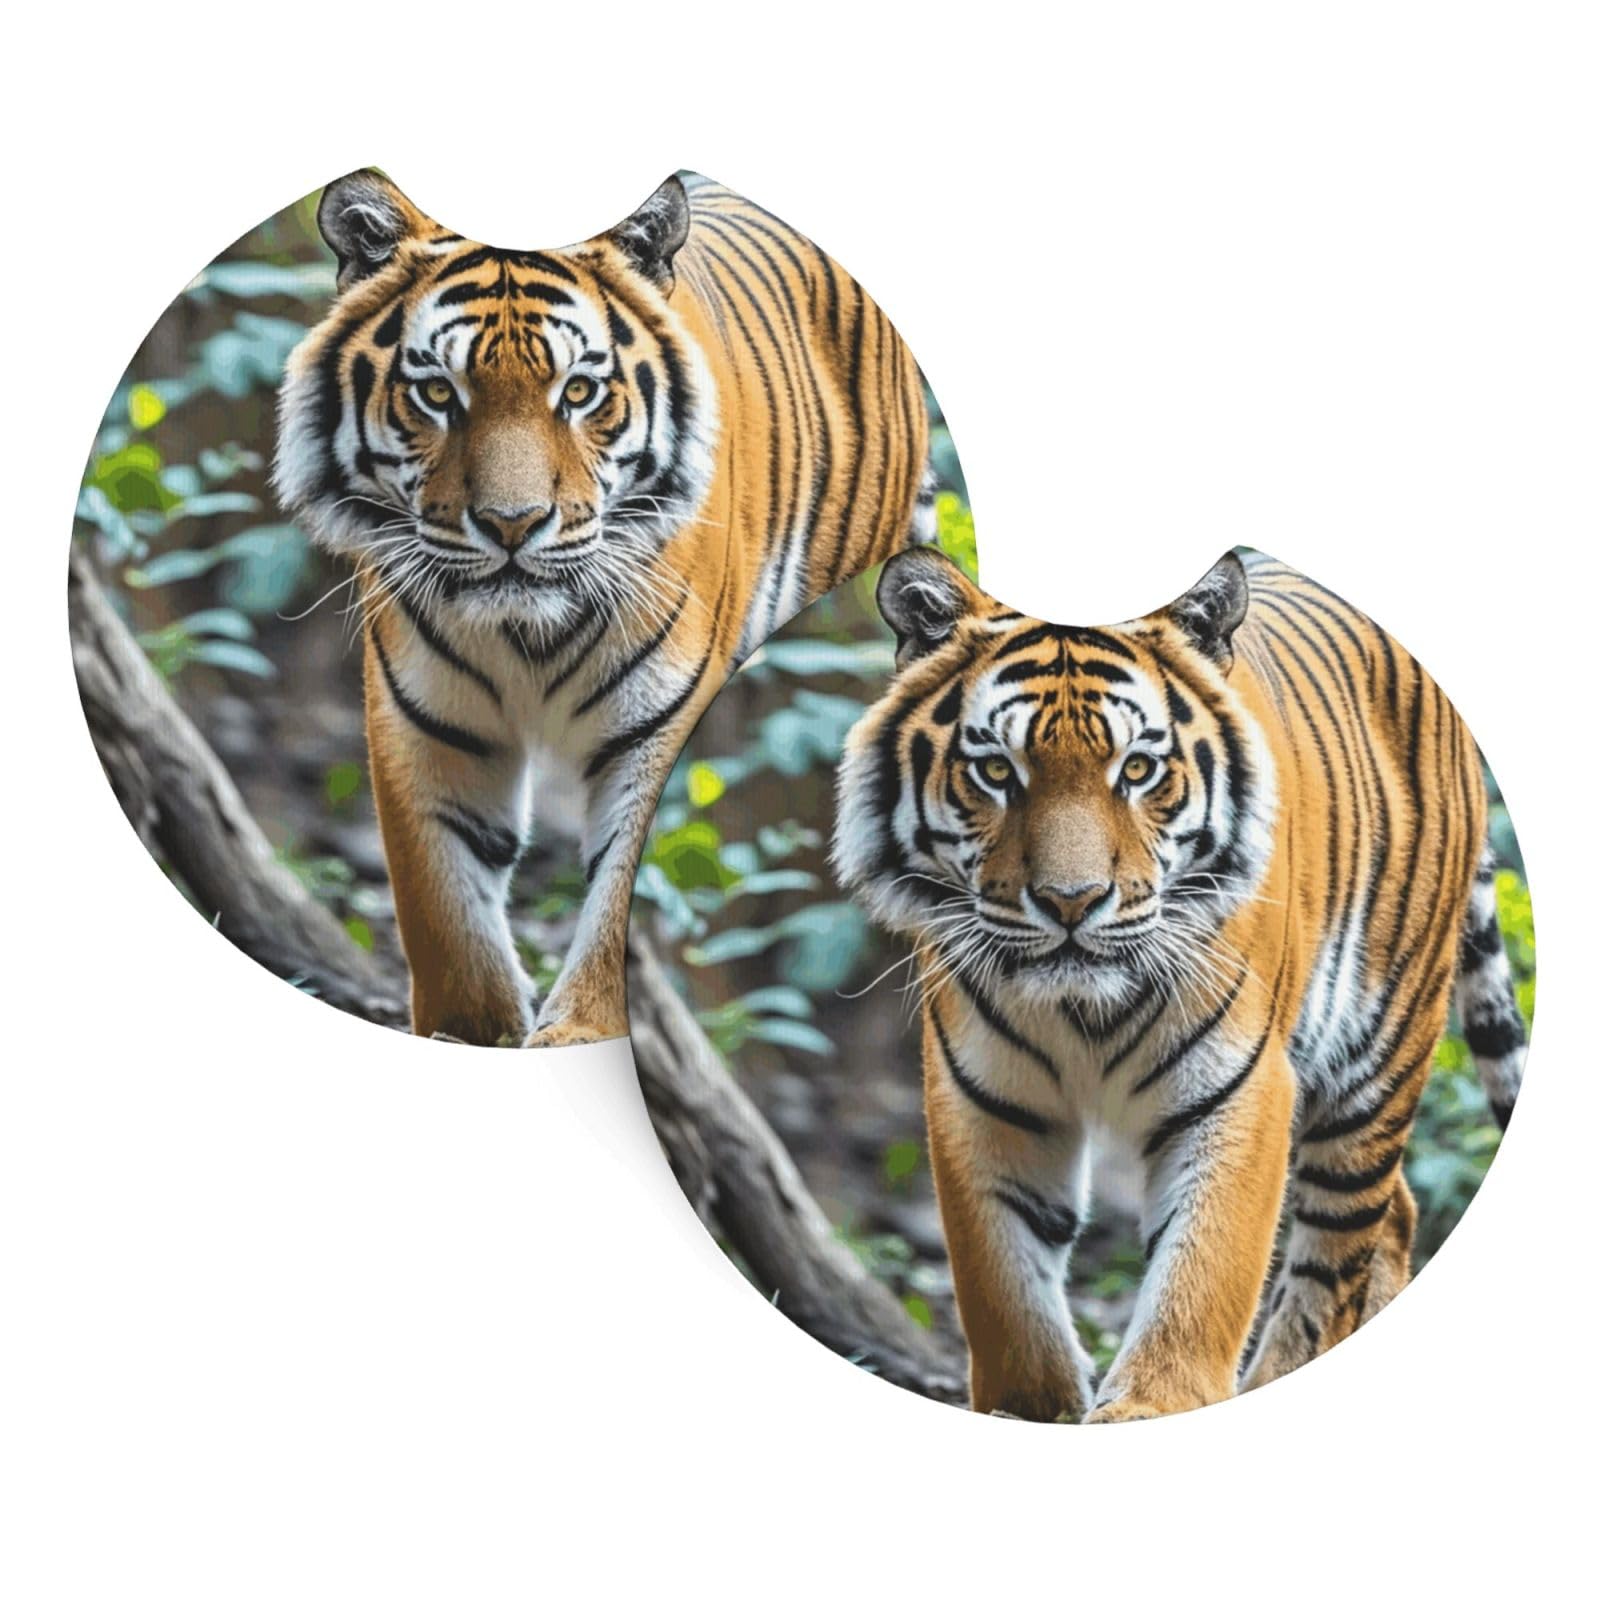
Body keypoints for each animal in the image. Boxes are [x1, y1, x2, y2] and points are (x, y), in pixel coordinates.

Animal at [275, 169, 937, 1046]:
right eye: (438, 393)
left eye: (580, 392)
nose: (512, 524)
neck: (525, 632)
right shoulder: (425, 721)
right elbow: (443, 902)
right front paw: (471, 1033)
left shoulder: (658, 725)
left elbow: (619, 888)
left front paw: (583, 1029)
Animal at [834, 546, 1528, 1421]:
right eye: (995, 770)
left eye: (1137, 769)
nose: (1071, 901)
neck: (1083, 1009)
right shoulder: (984, 1098)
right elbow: (1005, 1288)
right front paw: (1031, 1410)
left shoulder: (1239, 1085)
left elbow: (1201, 1274)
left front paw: (1148, 1407)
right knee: (1398, 1216)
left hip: (1379, 1058)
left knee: (1340, 1246)